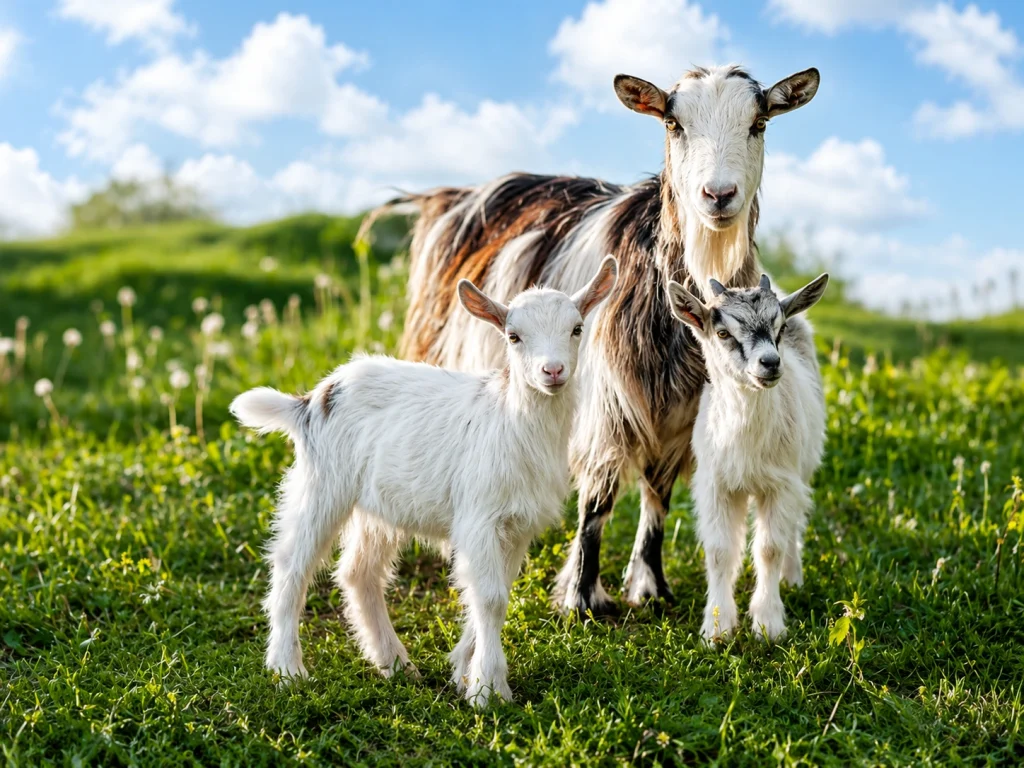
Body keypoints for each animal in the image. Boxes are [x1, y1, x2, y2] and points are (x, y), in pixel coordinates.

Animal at [230, 257, 618, 707]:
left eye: (577, 328)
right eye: (513, 336)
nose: (552, 370)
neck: (510, 422)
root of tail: (310, 401)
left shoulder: (518, 525)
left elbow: (493, 592)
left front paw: (464, 673)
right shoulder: (479, 517)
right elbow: (490, 598)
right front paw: (488, 690)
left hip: (379, 507)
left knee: (359, 573)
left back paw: (395, 664)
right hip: (323, 485)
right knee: (292, 564)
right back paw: (287, 669)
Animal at [359, 65, 820, 616]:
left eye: (760, 123)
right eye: (673, 123)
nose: (718, 195)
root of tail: (448, 196)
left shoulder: (680, 413)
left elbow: (657, 496)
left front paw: (650, 585)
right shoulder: (605, 405)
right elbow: (598, 500)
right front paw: (580, 598)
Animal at [667, 273, 829, 641]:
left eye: (780, 328)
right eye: (723, 332)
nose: (770, 362)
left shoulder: (781, 484)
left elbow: (769, 549)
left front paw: (768, 624)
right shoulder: (716, 485)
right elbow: (719, 551)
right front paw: (717, 628)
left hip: (802, 469)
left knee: (793, 526)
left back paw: (792, 577)